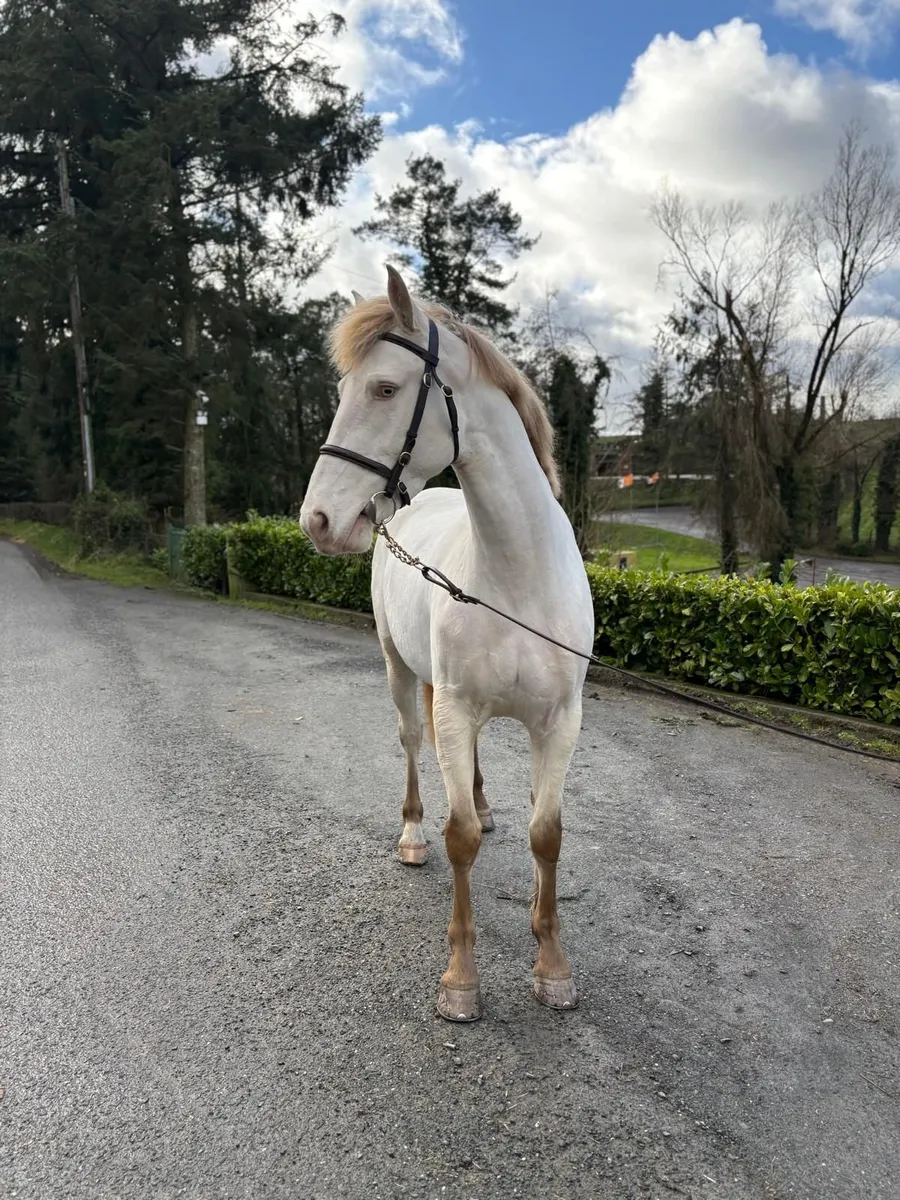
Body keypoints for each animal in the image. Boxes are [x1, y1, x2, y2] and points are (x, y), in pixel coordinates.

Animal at [300, 265, 594, 1022]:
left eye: (384, 388)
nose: (319, 520)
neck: (515, 577)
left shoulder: (560, 722)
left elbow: (546, 834)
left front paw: (552, 964)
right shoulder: (455, 708)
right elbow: (458, 838)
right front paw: (461, 980)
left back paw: (488, 808)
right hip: (400, 671)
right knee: (411, 742)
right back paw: (411, 834)